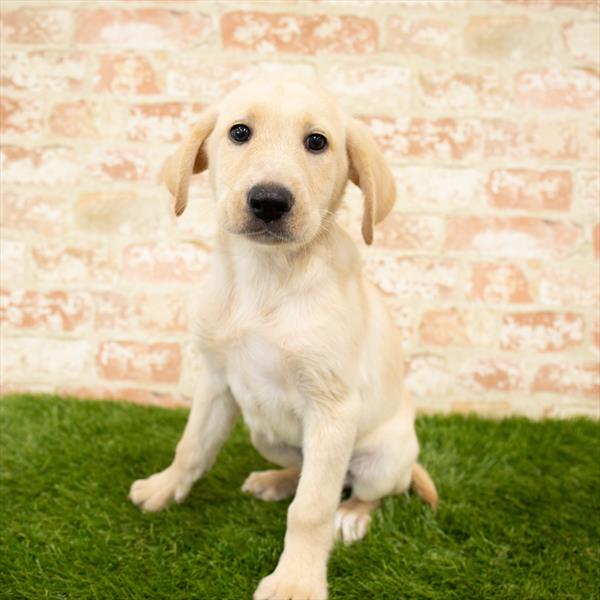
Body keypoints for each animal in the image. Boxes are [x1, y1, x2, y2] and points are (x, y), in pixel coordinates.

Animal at [130, 77, 436, 600]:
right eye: (239, 132)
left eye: (317, 142)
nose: (270, 201)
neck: (265, 277)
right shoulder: (216, 380)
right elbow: (192, 446)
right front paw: (164, 488)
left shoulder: (333, 408)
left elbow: (311, 510)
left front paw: (296, 580)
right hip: (266, 433)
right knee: (305, 472)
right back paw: (275, 480)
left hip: (382, 456)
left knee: (361, 492)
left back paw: (351, 516)